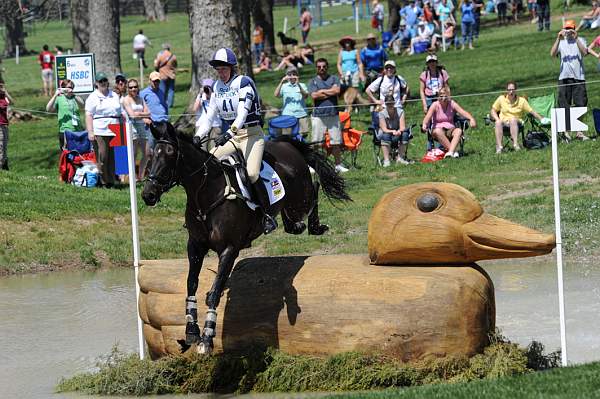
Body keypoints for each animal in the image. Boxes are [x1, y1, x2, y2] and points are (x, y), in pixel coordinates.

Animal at [141, 123, 352, 354]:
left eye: (170, 154)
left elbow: (214, 291)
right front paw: (191, 331)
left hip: (300, 196)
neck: (207, 194)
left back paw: (316, 226)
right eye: (152, 155)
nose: (147, 195)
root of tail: (286, 144)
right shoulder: (195, 246)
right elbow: (191, 284)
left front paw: (206, 338)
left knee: (314, 190)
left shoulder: (229, 249)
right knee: (294, 220)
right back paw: (293, 224)